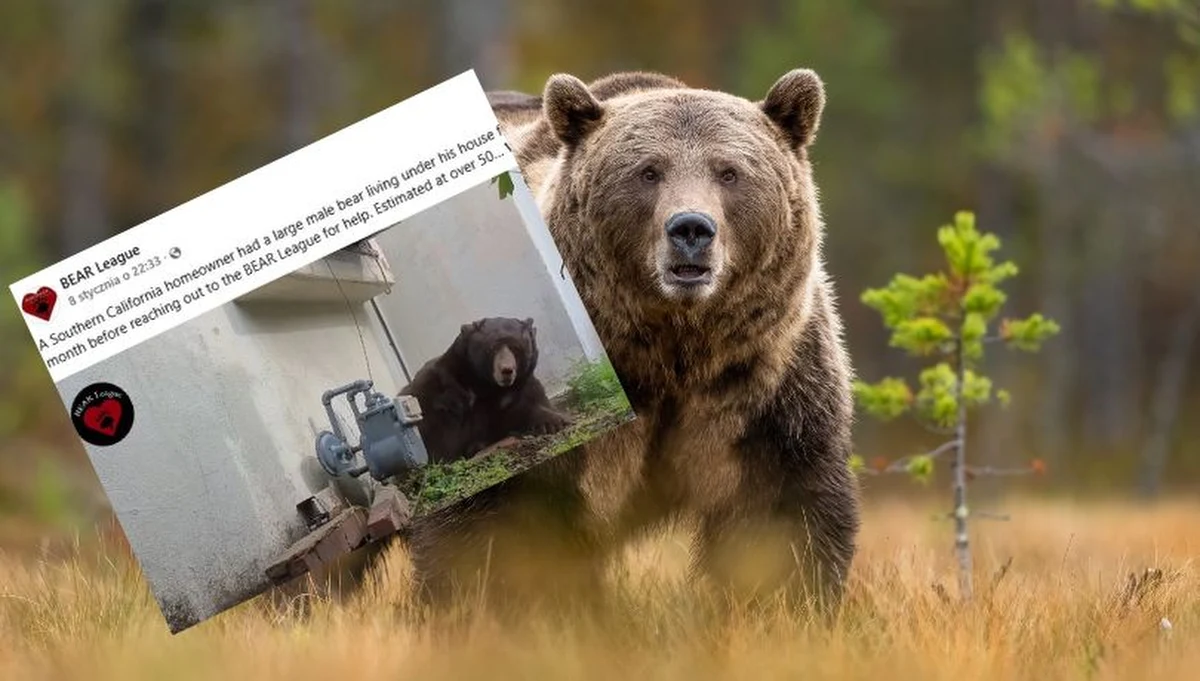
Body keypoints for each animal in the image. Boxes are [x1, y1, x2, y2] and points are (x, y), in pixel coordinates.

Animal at [399, 316, 572, 464]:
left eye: (516, 348)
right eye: (493, 348)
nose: (507, 370)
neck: (484, 385)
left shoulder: (520, 387)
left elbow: (528, 404)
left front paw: (555, 421)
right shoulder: (443, 391)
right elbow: (440, 432)